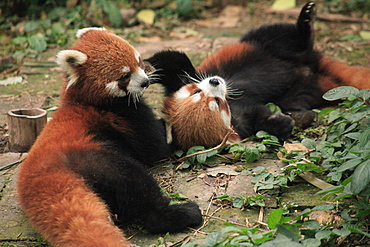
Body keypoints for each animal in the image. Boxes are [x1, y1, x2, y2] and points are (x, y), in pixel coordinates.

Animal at [16, 27, 202, 247]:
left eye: (139, 61)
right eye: (124, 76)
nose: (145, 82)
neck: (86, 100)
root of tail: (39, 177)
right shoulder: (126, 117)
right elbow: (157, 146)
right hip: (93, 159)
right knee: (133, 183)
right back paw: (178, 214)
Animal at [147, 1, 370, 141]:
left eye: (197, 91)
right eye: (216, 103)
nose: (215, 82)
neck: (231, 95)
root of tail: (311, 65)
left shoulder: (186, 76)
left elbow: (174, 60)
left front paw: (146, 65)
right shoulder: (240, 119)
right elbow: (258, 117)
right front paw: (278, 123)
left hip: (259, 46)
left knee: (279, 36)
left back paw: (307, 21)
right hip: (307, 92)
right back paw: (302, 115)